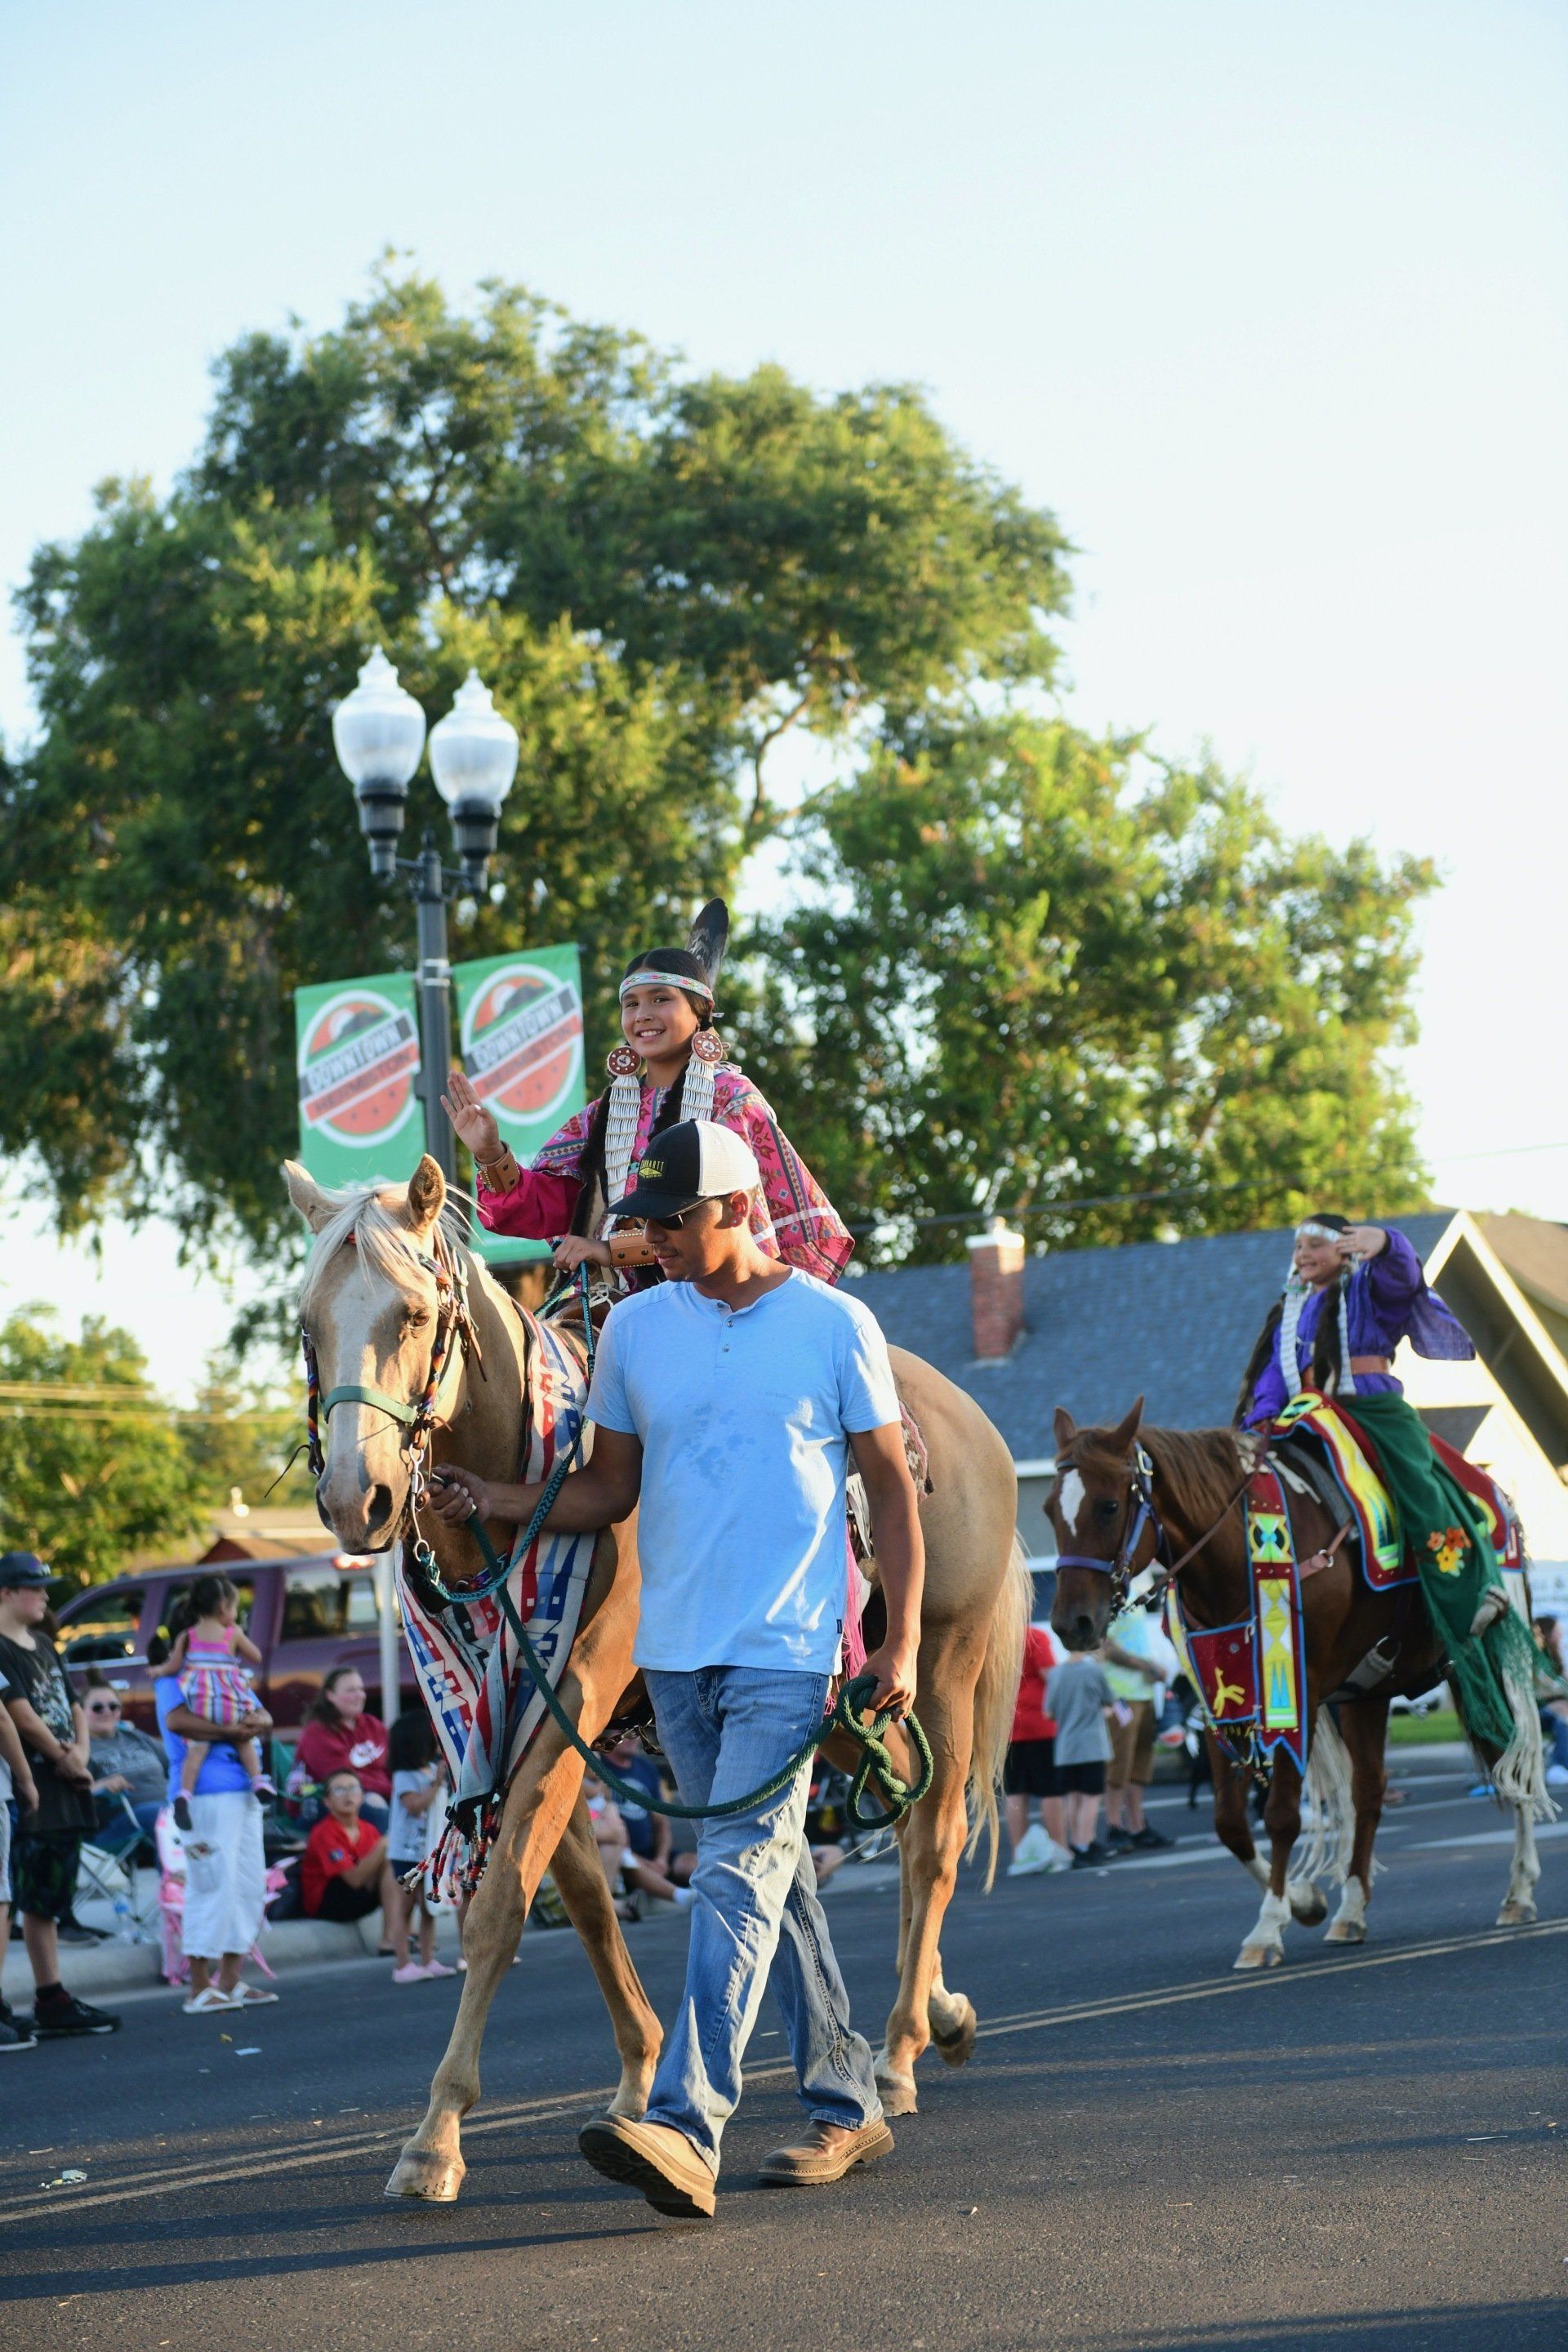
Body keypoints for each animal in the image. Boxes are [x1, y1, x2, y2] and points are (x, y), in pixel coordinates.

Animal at [287, 1147, 1034, 2192]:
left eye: (413, 1315)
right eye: (309, 1324)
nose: (360, 1500)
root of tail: (975, 1427)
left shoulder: (575, 1690)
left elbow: (500, 1907)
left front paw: (434, 2138)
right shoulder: (518, 1723)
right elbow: (584, 1898)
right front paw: (640, 2077)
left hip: (944, 1664)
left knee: (933, 1841)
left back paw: (896, 2054)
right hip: (844, 1712)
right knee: (892, 1802)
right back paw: (940, 2016)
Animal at [1044, 1392, 1542, 1966]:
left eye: (1108, 1506)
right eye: (1049, 1511)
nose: (1072, 1623)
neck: (1233, 1560)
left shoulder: (1295, 1695)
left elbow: (1281, 1814)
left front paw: (1268, 1927)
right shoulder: (1220, 1698)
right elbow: (1231, 1823)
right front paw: (1304, 1902)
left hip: (1490, 1662)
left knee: (1512, 1758)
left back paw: (1519, 1890)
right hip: (1366, 1692)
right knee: (1369, 1791)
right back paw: (1352, 1908)